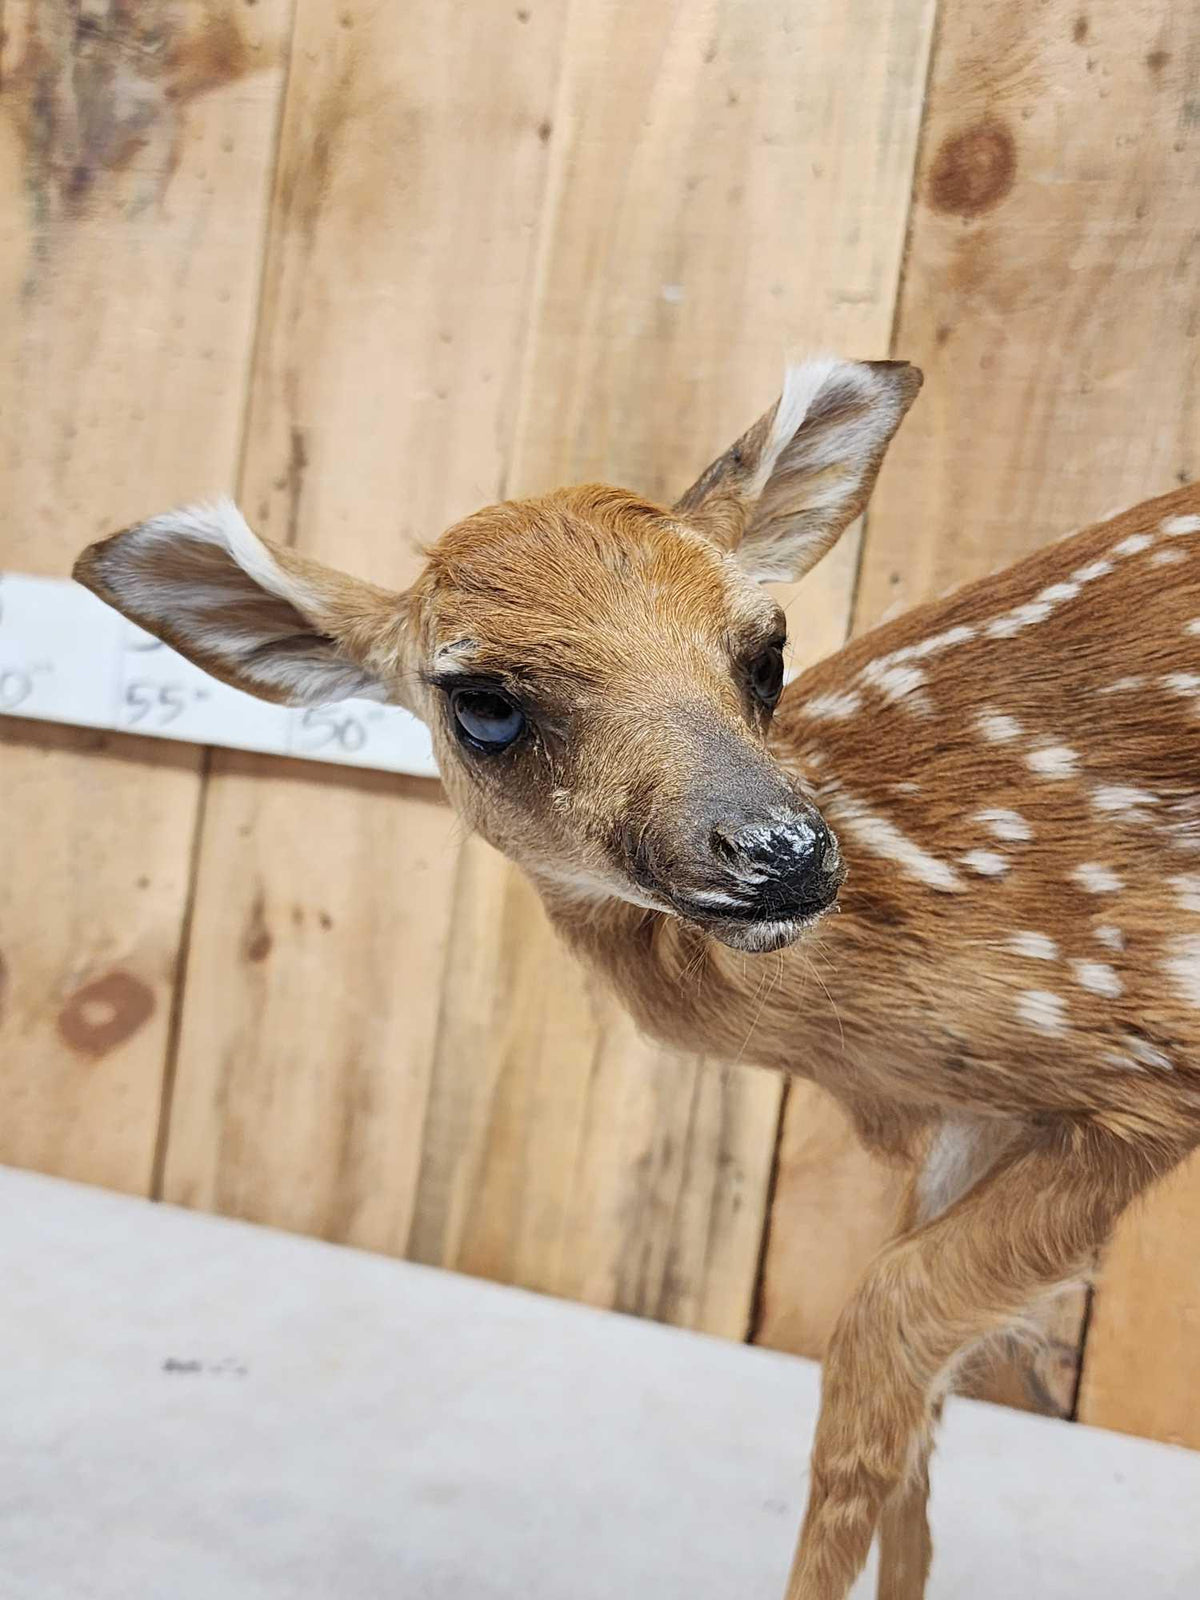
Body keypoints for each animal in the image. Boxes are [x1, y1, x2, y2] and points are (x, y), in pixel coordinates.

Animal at [73, 355, 1200, 1600]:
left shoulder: (1149, 1044)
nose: (781, 850)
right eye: (483, 701)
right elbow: (921, 1410)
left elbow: (874, 1359)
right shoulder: (989, 1107)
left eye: (767, 646)